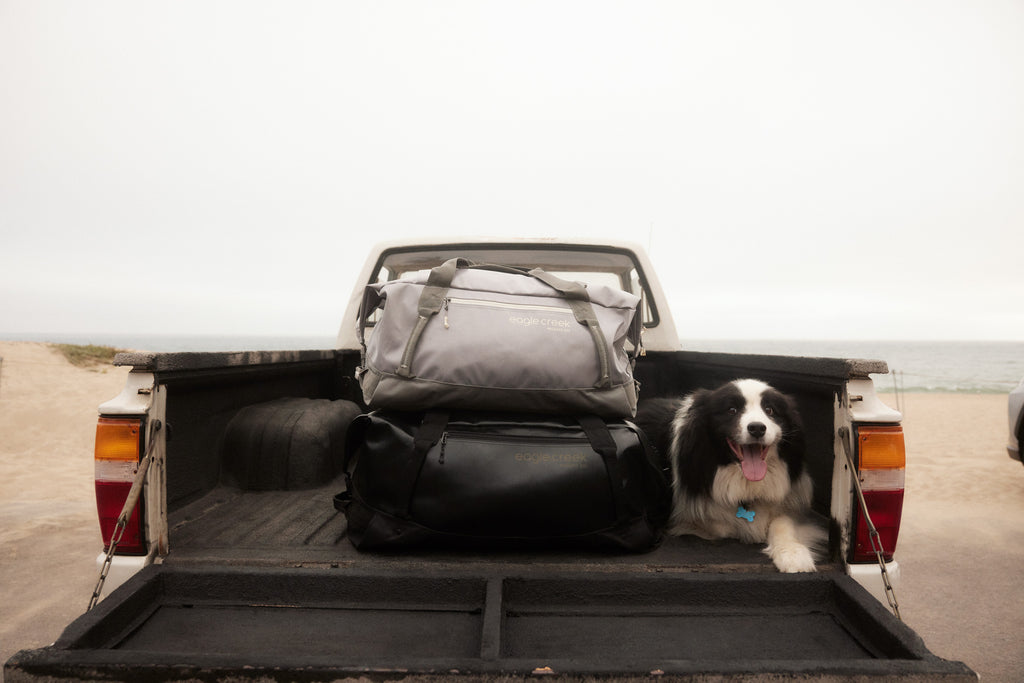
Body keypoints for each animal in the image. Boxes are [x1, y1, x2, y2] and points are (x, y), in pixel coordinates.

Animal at [638, 378, 823, 573]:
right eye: (732, 410)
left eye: (770, 410)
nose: (757, 428)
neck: (746, 481)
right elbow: (722, 522)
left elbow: (783, 520)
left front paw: (793, 553)